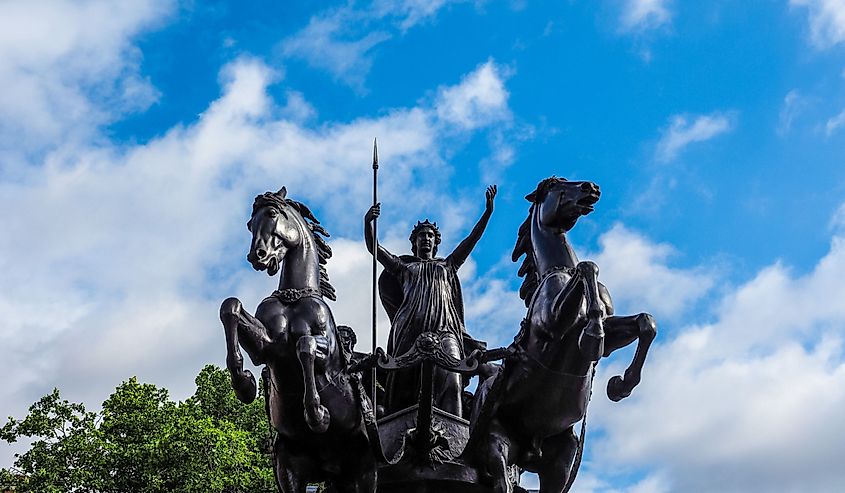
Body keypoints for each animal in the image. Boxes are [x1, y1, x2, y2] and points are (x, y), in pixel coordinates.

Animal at [221, 186, 376, 490]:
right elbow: (230, 307)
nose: (257, 256)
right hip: (290, 468)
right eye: (249, 224)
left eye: (272, 213)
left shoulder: (327, 352)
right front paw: (244, 383)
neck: (294, 295)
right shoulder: (267, 346)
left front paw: (317, 414)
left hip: (366, 469)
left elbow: (306, 345)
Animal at [468, 179, 652, 492]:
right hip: (495, 443)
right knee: (501, 481)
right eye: (555, 185)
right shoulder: (553, 322)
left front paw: (620, 385)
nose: (592, 187)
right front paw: (592, 336)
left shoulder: (613, 334)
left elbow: (645, 323)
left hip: (562, 457)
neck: (559, 270)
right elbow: (588, 266)